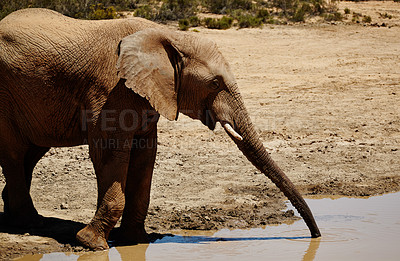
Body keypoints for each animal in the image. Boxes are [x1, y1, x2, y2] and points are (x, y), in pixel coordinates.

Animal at [0, 7, 320, 248]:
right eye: (215, 83)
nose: (316, 236)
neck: (168, 36)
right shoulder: (110, 92)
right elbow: (109, 154)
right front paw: (91, 243)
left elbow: (145, 156)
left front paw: (134, 241)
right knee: (15, 153)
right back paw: (27, 222)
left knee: (32, 150)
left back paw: (23, 218)